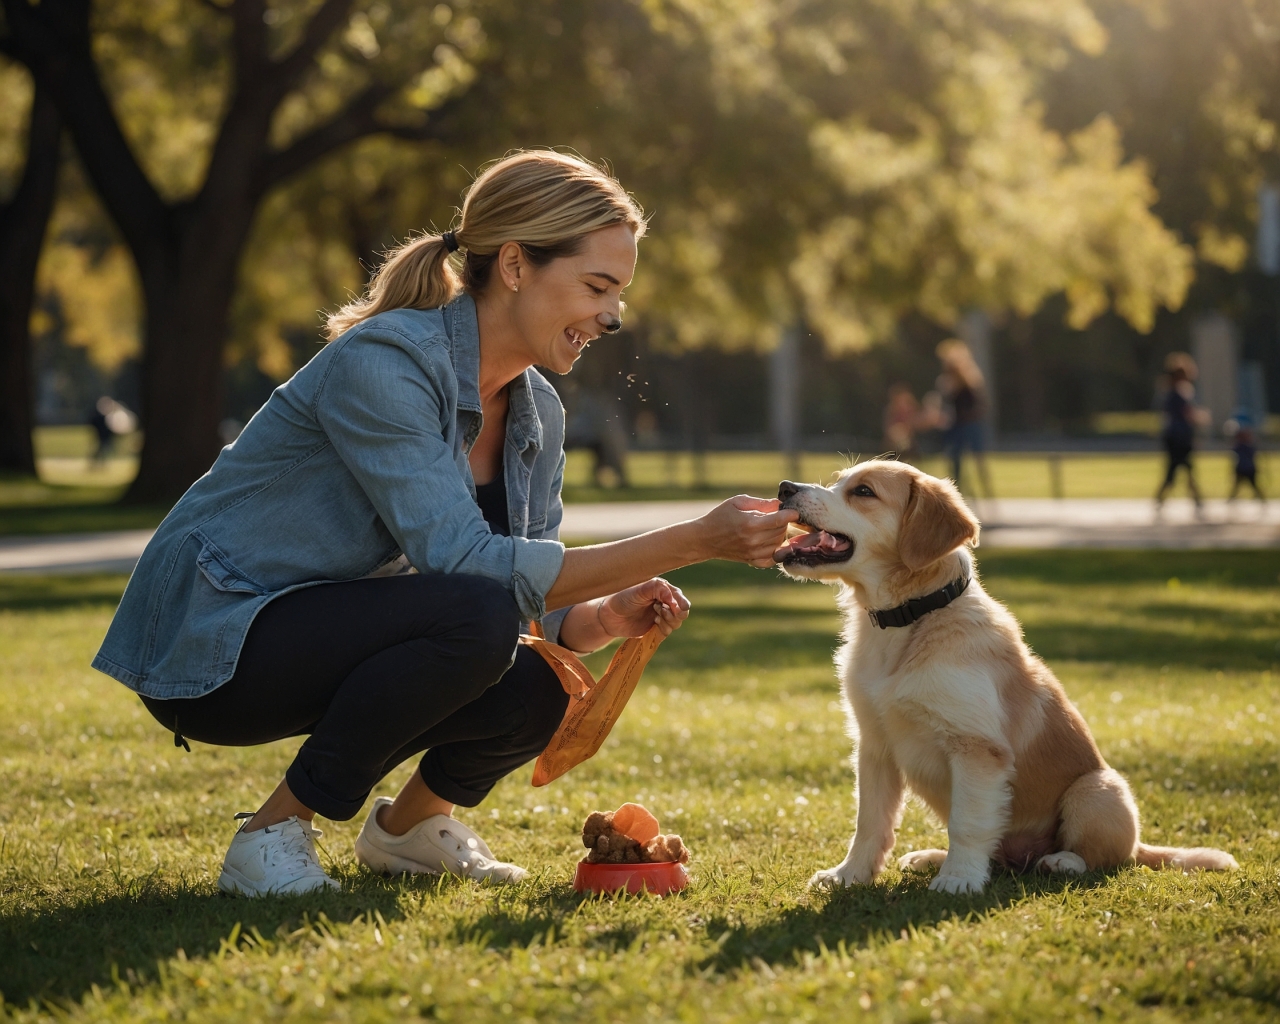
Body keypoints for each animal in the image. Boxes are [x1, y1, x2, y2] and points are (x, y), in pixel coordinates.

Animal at [773, 460, 1233, 890]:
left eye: (863, 492)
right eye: (838, 481)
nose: (784, 488)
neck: (908, 621)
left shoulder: (976, 748)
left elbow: (968, 823)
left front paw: (958, 880)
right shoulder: (875, 745)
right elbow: (869, 822)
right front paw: (848, 874)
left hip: (1098, 790)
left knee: (1108, 858)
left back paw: (1059, 862)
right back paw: (932, 857)